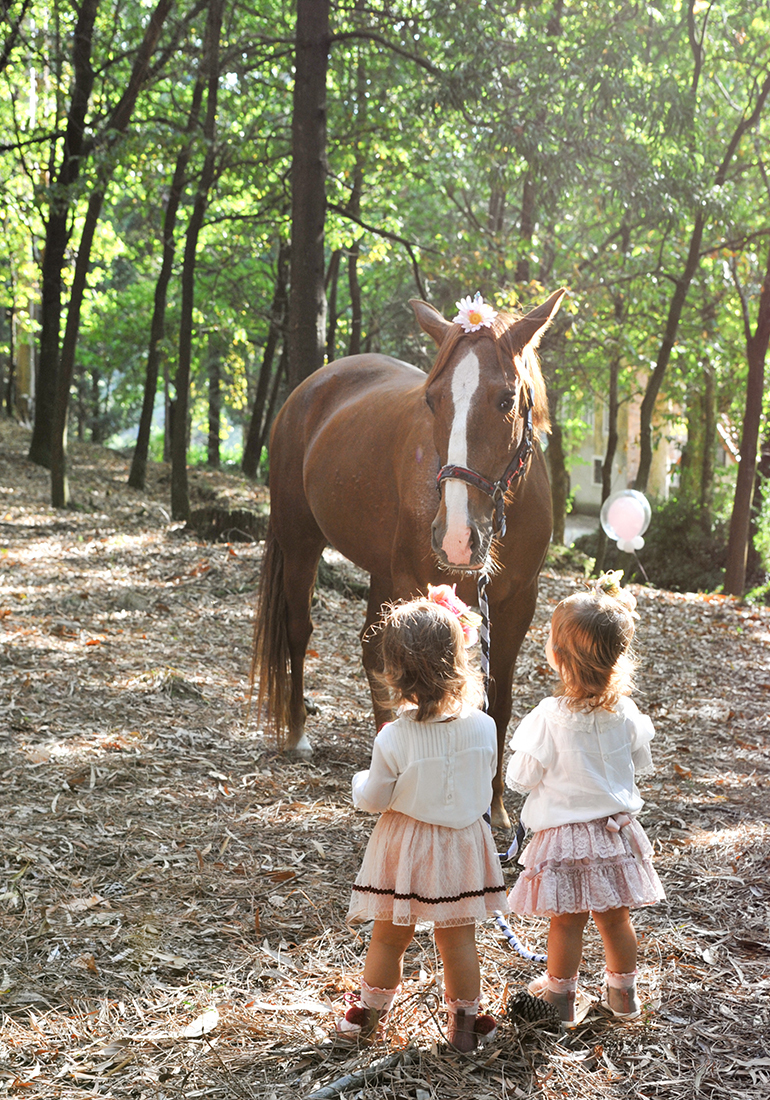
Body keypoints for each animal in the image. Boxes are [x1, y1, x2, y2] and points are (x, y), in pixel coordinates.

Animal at [252, 288, 565, 828]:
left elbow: (498, 702)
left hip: (381, 571)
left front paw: (495, 806)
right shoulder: (419, 587)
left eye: (507, 400)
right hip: (301, 543)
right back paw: (298, 735)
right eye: (432, 399)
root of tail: (308, 388)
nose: (457, 536)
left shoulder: (517, 603)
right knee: (300, 631)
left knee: (370, 649)